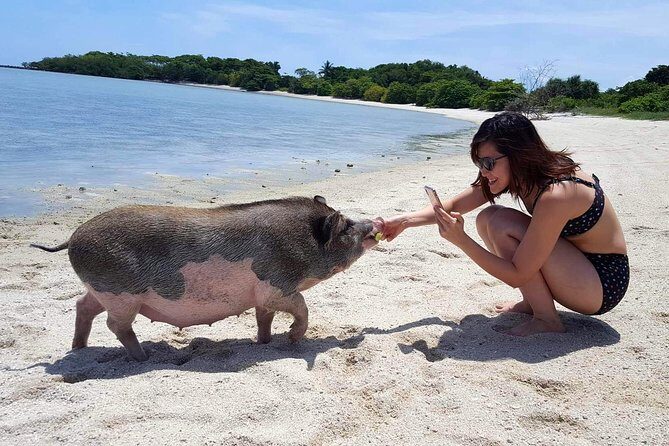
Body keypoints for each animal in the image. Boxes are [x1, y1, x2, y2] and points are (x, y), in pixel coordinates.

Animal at [31, 196, 382, 361]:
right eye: (346, 227)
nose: (374, 222)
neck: (301, 243)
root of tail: (72, 238)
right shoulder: (277, 286)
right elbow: (302, 306)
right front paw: (293, 340)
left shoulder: (262, 296)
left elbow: (263, 317)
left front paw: (263, 343)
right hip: (121, 295)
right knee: (115, 324)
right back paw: (144, 356)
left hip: (102, 291)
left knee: (83, 306)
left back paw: (79, 349)